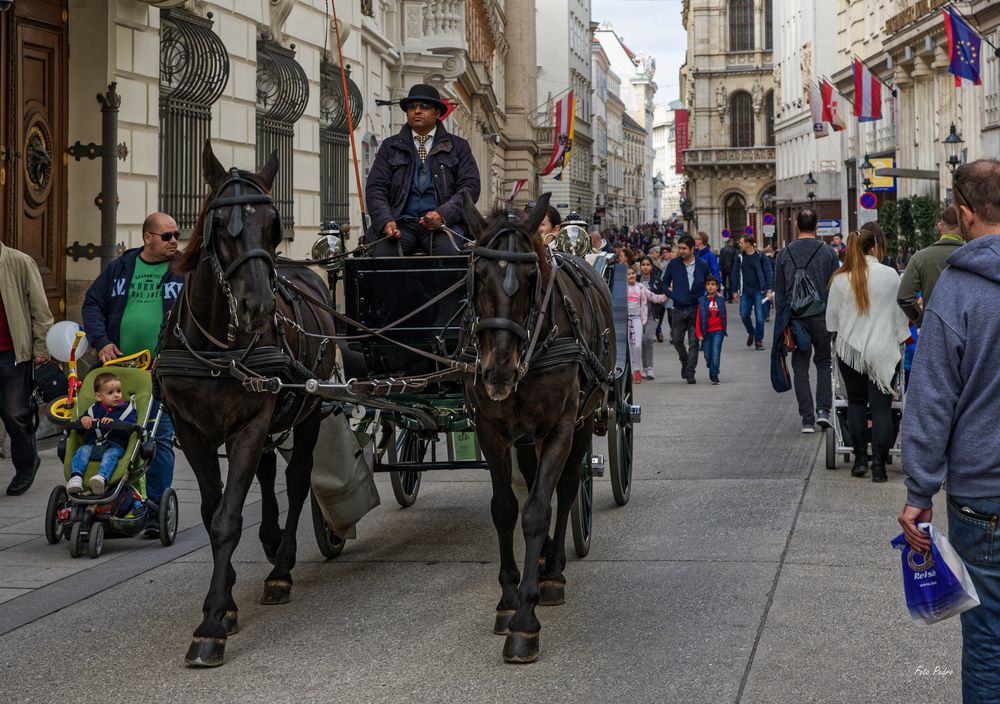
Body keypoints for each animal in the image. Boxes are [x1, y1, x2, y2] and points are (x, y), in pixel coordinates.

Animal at [158, 142, 338, 664]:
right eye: (221, 224)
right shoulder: (190, 432)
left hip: (309, 411)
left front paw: (213, 621)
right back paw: (272, 539)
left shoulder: (250, 425)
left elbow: (228, 519)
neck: (218, 347)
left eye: (273, 224)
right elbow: (210, 510)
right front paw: (227, 595)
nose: (259, 307)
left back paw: (281, 568)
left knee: (296, 481)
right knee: (267, 472)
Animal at [458, 191, 612, 660]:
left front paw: (526, 619)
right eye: (477, 274)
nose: (499, 371)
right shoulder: (492, 430)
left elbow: (539, 511)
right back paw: (542, 560)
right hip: (526, 438)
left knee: (567, 485)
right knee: (531, 477)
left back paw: (553, 570)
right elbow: (506, 509)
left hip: (584, 421)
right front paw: (508, 599)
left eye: (530, 276)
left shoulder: (561, 425)